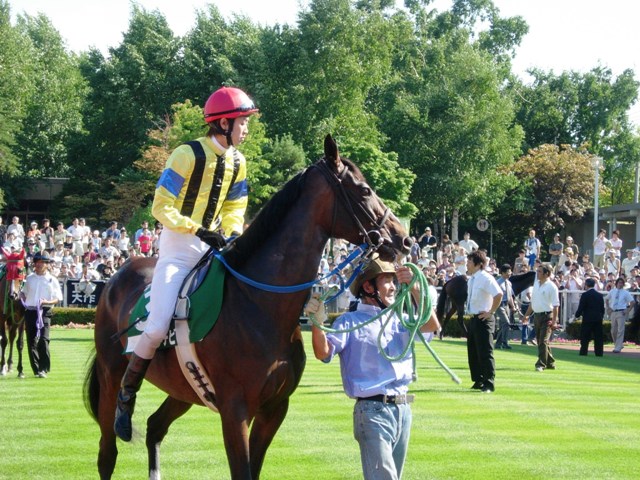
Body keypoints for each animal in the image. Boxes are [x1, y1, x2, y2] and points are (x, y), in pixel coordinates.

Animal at [82, 135, 410, 480]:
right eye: (365, 190)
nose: (403, 239)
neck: (259, 304)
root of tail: (118, 276)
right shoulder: (235, 410)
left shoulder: (274, 408)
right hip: (111, 375)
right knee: (107, 451)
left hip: (183, 388)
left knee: (155, 427)